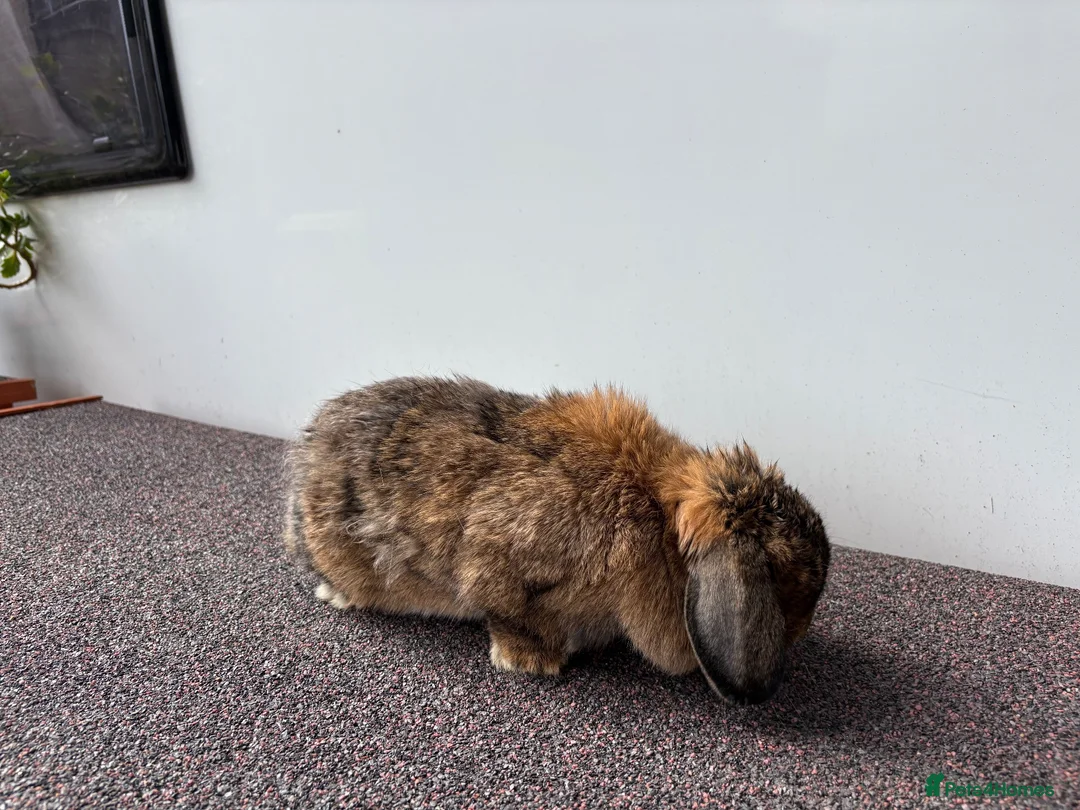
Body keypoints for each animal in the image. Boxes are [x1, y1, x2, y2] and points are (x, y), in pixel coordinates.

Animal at [284, 375, 831, 704]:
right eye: (785, 577)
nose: (801, 632)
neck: (656, 512)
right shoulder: (501, 565)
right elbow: (505, 612)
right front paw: (530, 663)